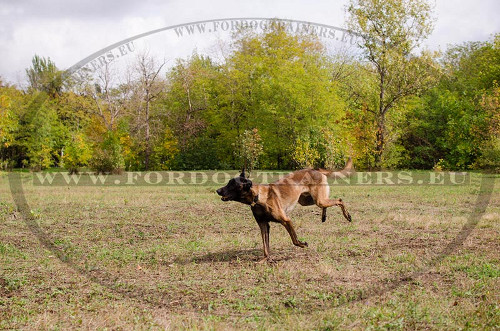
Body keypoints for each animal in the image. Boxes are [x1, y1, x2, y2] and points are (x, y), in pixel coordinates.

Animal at [217, 160, 354, 264]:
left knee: (339, 200)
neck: (258, 197)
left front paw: (302, 244)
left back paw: (347, 216)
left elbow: (294, 240)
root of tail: (315, 169)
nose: (217, 190)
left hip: (318, 199)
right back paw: (324, 216)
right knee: (328, 203)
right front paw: (264, 260)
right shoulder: (263, 225)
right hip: (308, 200)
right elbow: (265, 246)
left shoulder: (286, 220)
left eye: (232, 184)